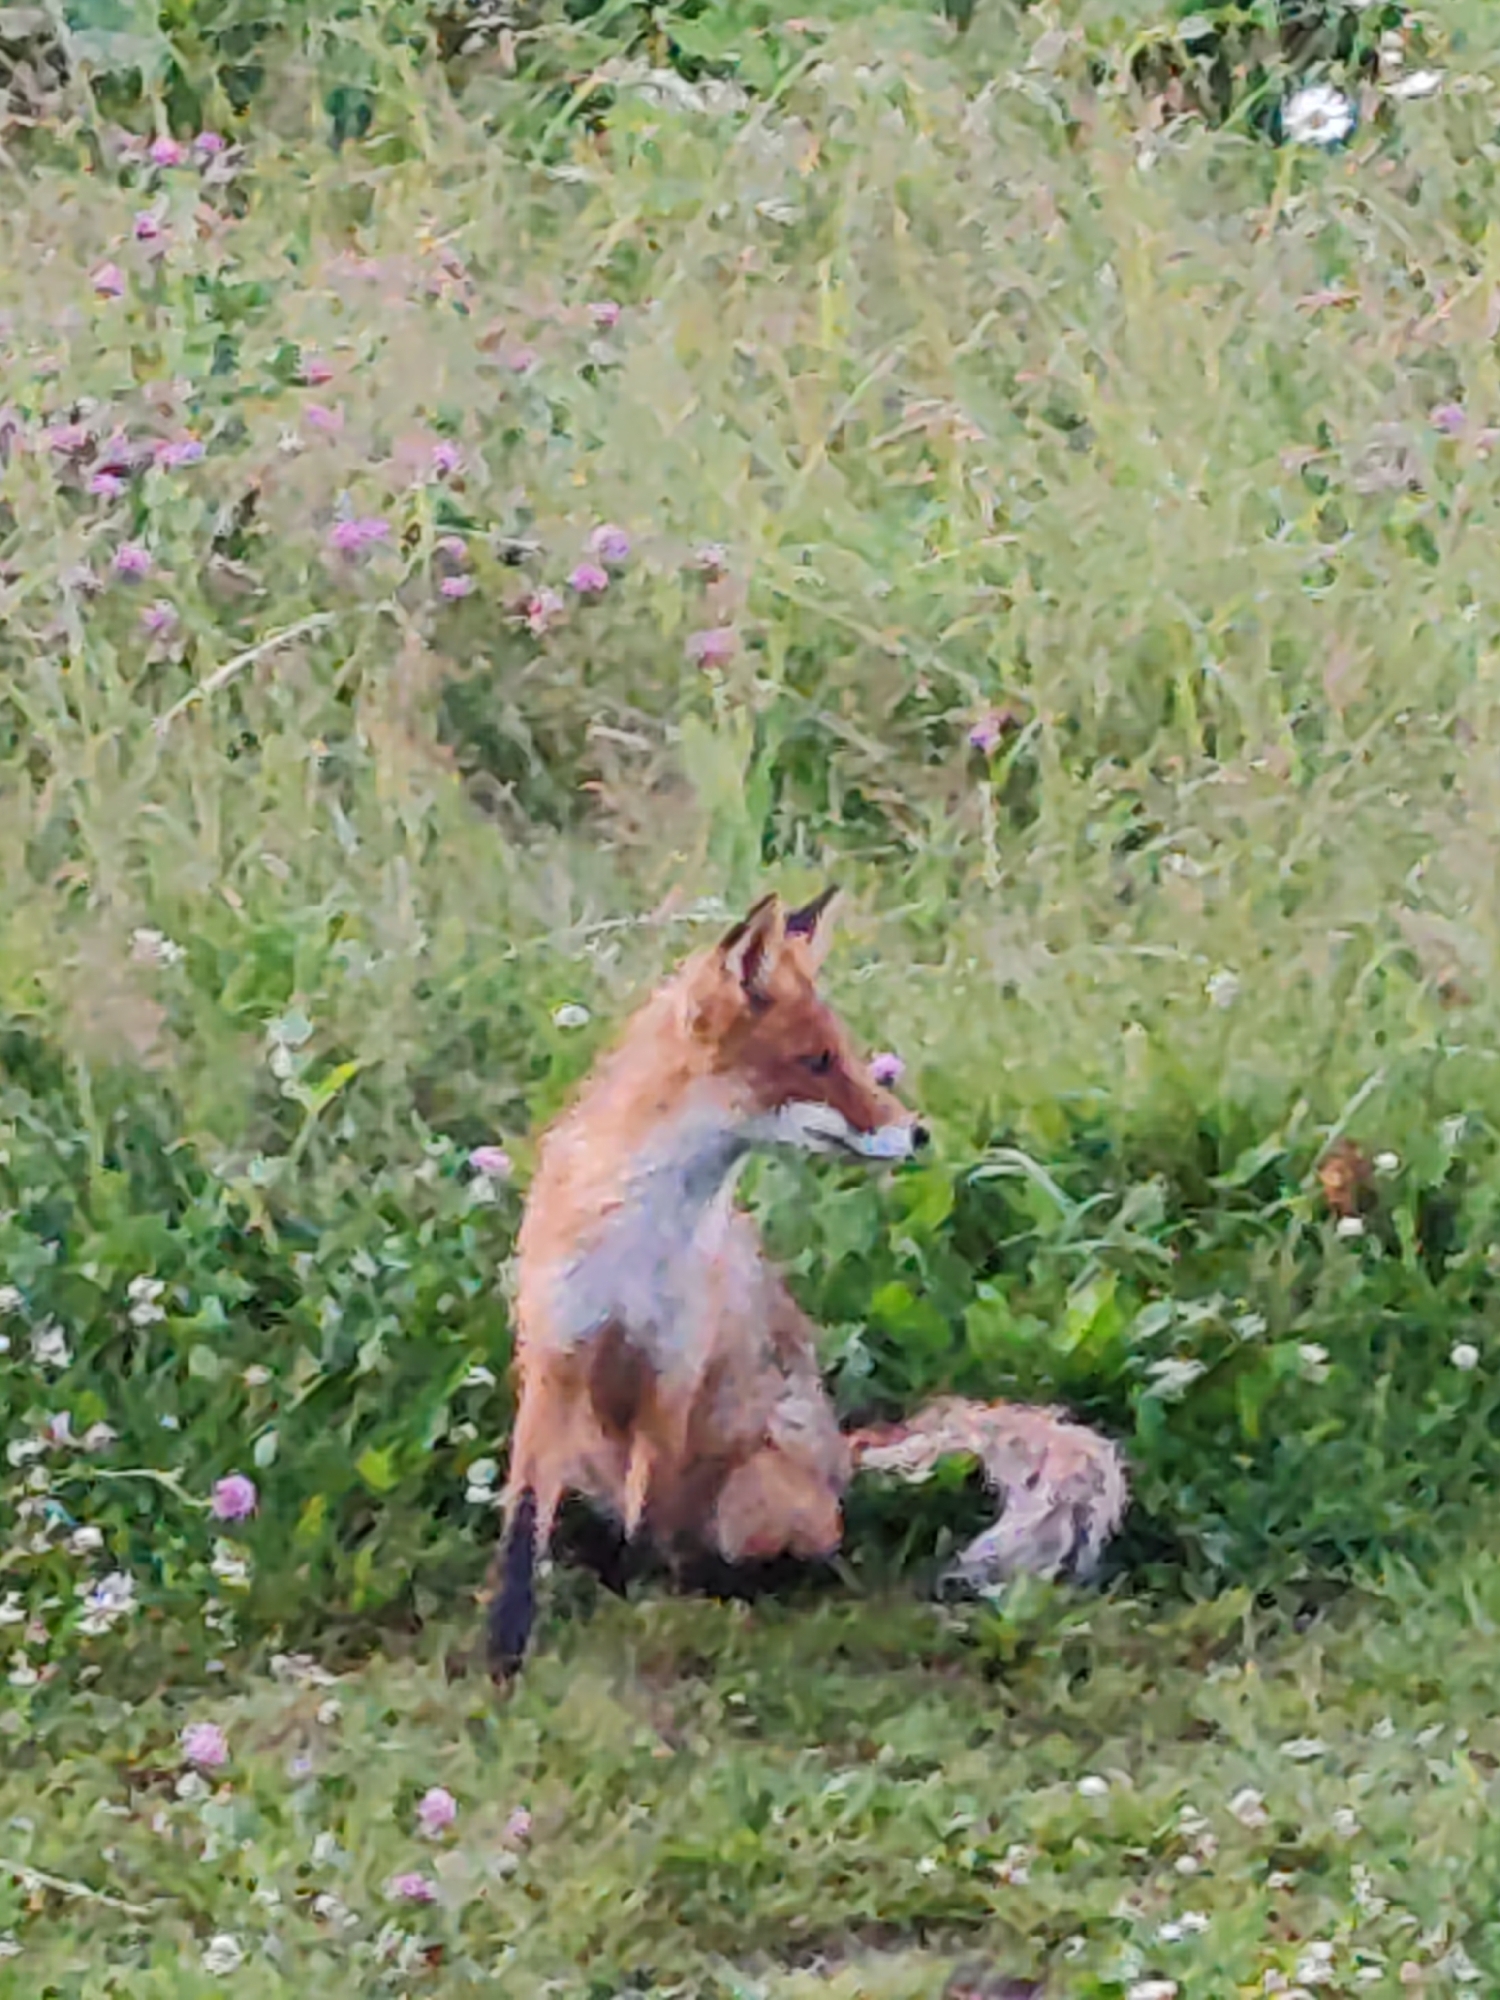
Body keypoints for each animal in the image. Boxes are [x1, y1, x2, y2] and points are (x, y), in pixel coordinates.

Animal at [487, 886, 927, 1678]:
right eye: (816, 1059)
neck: (636, 1237)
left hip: (757, 1491)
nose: (919, 1132)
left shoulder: (675, 1364)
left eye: (846, 1054)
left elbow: (645, 1518)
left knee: (795, 1548)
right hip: (590, 1451)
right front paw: (503, 1650)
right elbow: (523, 1522)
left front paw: (635, 1601)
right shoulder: (555, 1351)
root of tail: (841, 1457)